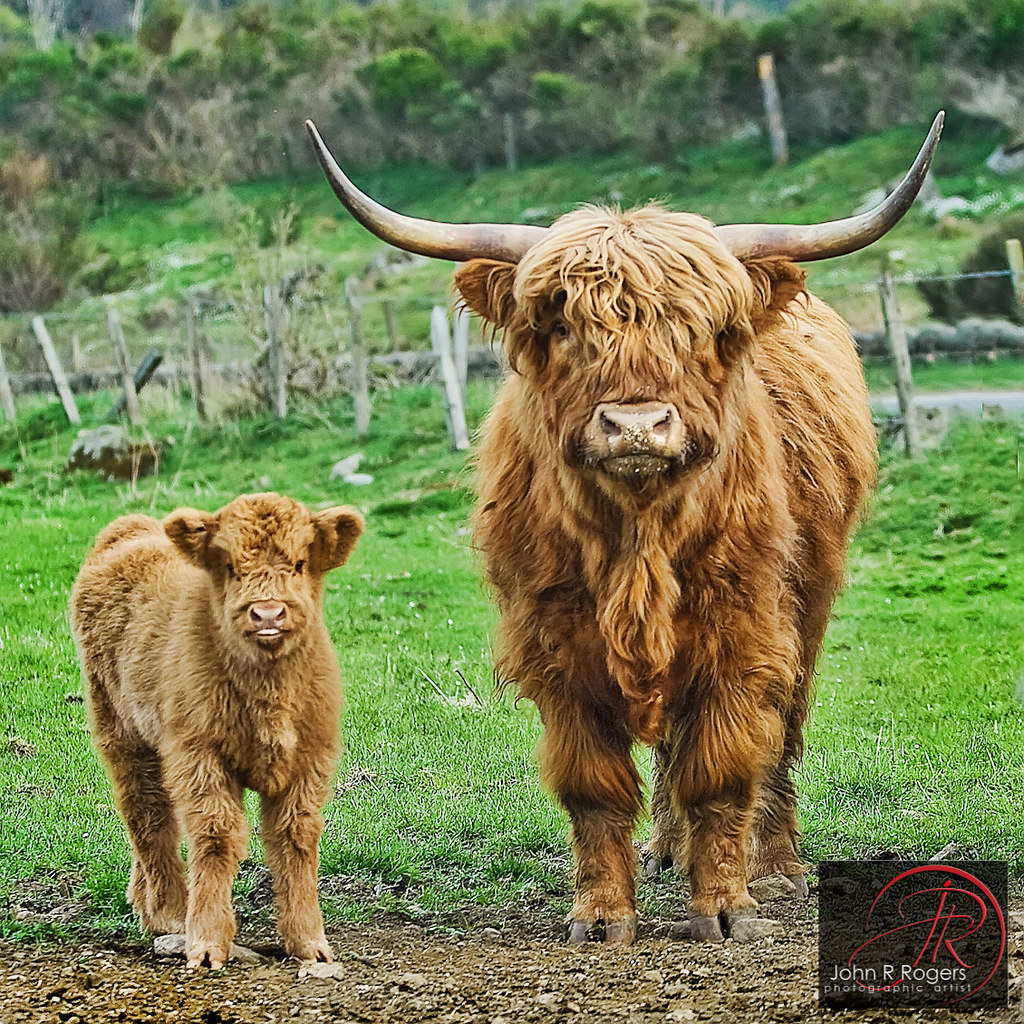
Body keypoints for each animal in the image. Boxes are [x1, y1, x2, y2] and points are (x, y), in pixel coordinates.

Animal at [71, 495, 364, 966]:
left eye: (300, 563)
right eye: (229, 565)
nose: (267, 613)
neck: (269, 695)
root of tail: (130, 530)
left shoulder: (310, 760)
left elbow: (296, 838)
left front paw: (310, 943)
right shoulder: (198, 756)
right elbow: (215, 836)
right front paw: (206, 941)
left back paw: (145, 904)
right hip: (122, 733)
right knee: (148, 818)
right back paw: (170, 913)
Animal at [303, 112, 942, 942]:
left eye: (703, 328)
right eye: (560, 325)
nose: (636, 425)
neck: (638, 539)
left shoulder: (742, 632)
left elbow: (724, 769)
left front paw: (728, 906)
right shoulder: (556, 644)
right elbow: (596, 786)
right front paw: (603, 915)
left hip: (809, 605)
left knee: (781, 737)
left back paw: (776, 868)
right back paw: (667, 849)